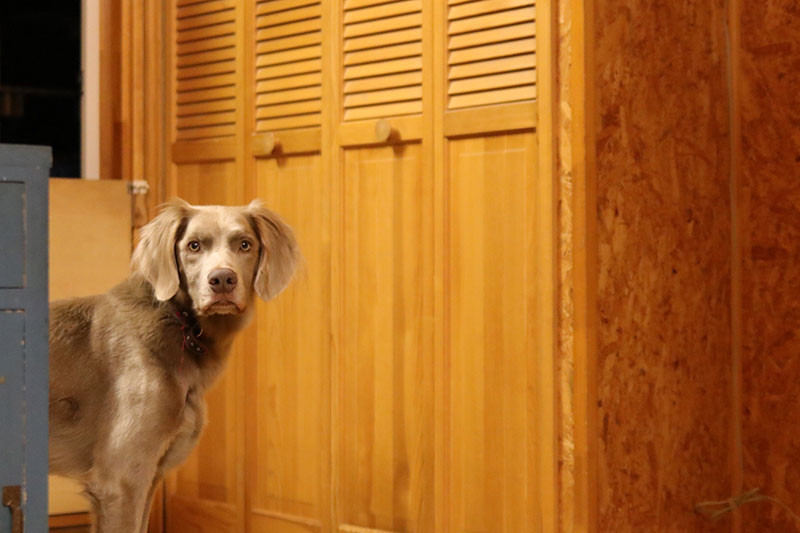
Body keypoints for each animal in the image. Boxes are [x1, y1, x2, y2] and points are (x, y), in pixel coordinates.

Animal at [50, 197, 300, 528]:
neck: (180, 325)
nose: (222, 280)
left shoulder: (151, 475)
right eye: (194, 245)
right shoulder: (121, 480)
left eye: (245, 244)